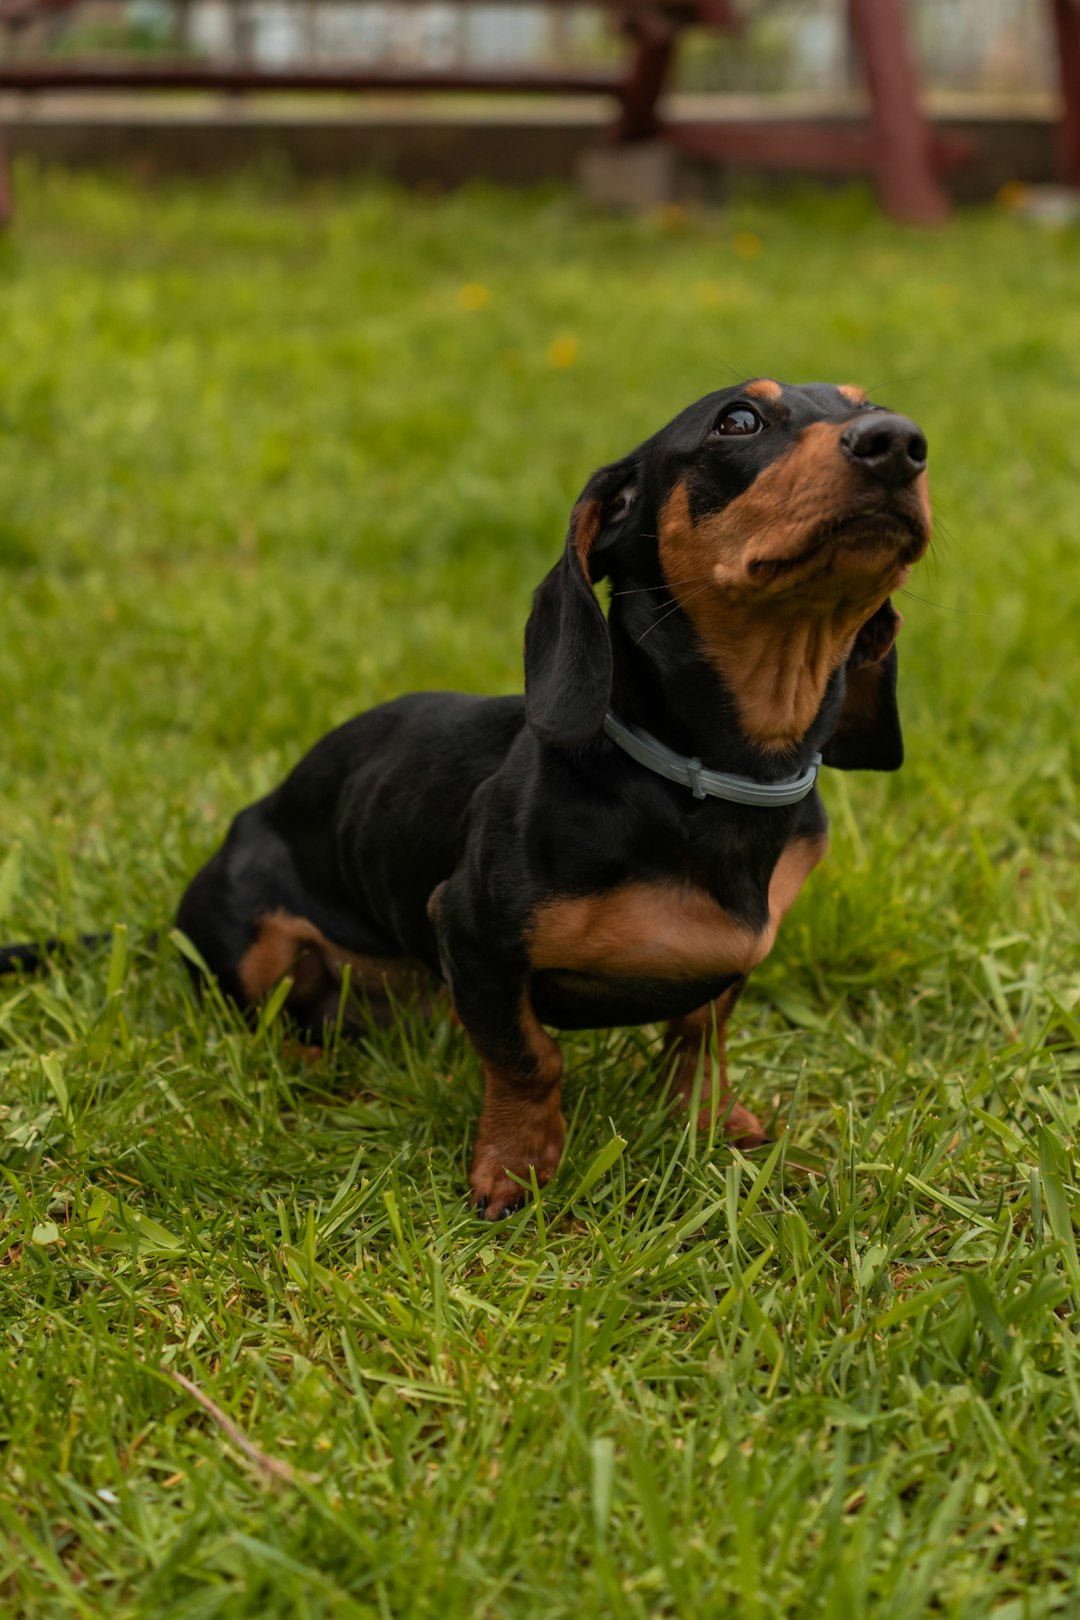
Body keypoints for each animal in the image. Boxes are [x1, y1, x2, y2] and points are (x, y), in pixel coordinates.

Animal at [169, 379, 932, 1218]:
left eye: (868, 400)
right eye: (739, 420)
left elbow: (702, 1038)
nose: (898, 441)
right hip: (249, 941)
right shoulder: (470, 929)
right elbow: (530, 1060)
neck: (708, 781)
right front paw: (515, 1168)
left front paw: (715, 1125)